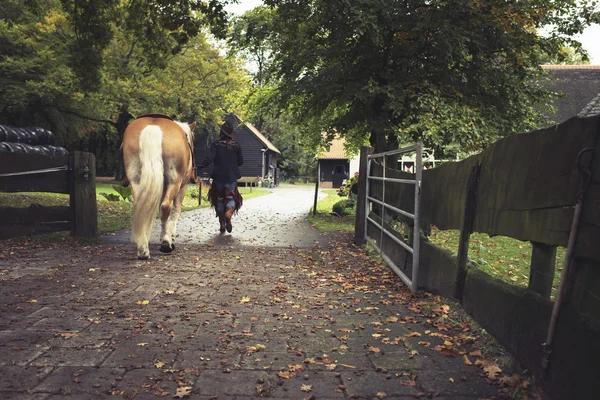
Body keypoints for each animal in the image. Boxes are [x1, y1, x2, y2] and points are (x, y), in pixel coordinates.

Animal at [122, 114, 197, 260]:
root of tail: (153, 127)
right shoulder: (182, 187)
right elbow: (175, 210)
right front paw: (170, 236)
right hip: (174, 182)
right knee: (165, 207)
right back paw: (165, 243)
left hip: (137, 181)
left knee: (141, 207)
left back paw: (143, 248)